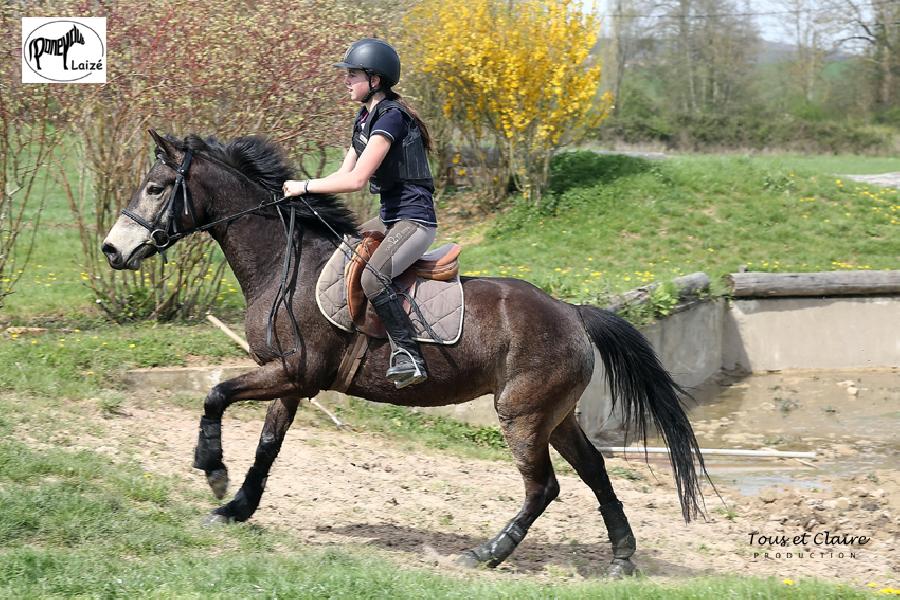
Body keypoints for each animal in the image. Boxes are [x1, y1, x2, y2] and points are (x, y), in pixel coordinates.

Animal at [102, 130, 712, 576]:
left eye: (156, 187)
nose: (111, 250)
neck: (283, 263)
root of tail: (573, 312)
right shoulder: (290, 380)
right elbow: (267, 446)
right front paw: (235, 506)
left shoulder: (294, 372)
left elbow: (215, 394)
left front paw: (212, 470)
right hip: (554, 416)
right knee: (593, 472)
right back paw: (622, 558)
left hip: (522, 415)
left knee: (545, 486)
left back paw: (485, 554)